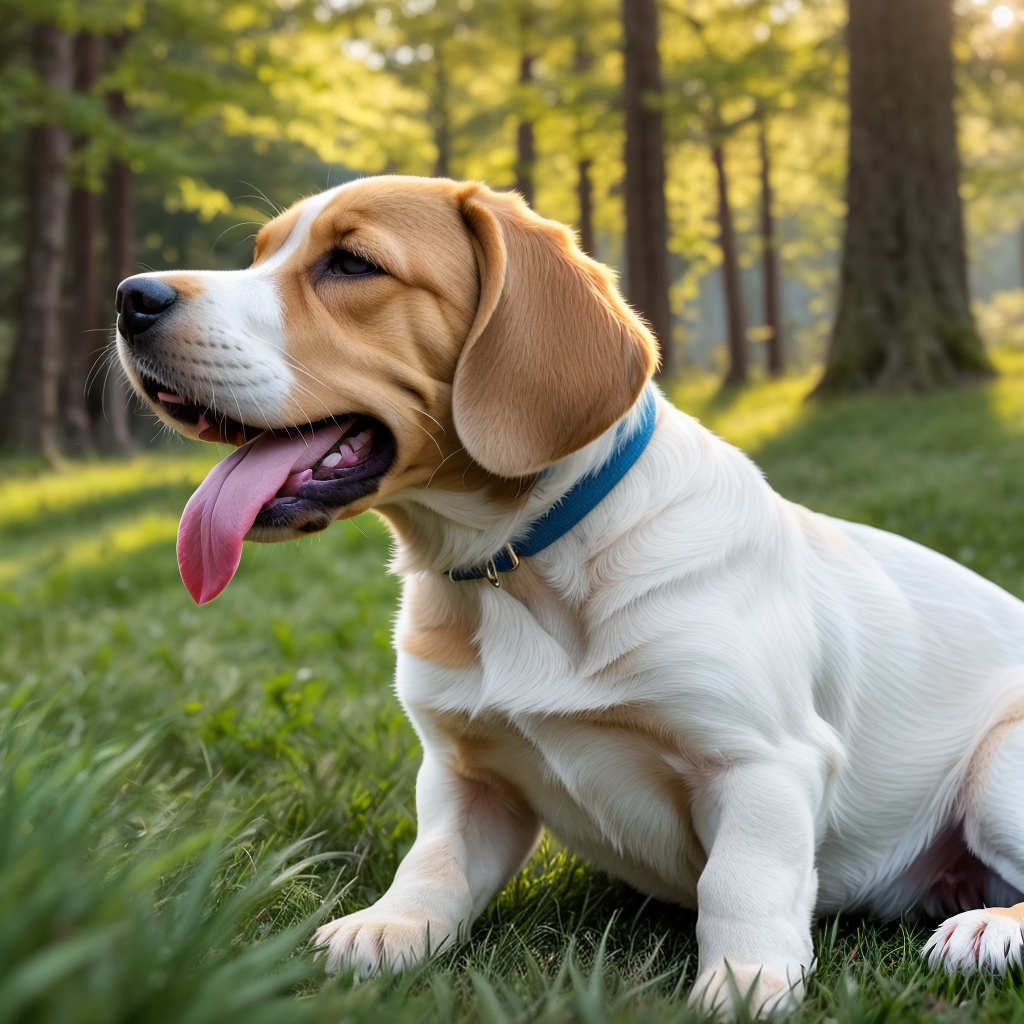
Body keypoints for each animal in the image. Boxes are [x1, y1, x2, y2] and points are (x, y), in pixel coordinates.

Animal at [116, 176, 1024, 1015]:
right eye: (259, 253)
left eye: (352, 263)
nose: (131, 298)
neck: (514, 570)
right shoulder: (464, 770)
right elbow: (433, 863)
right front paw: (390, 928)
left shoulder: (761, 759)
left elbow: (742, 883)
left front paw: (744, 983)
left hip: (997, 768)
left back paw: (988, 930)